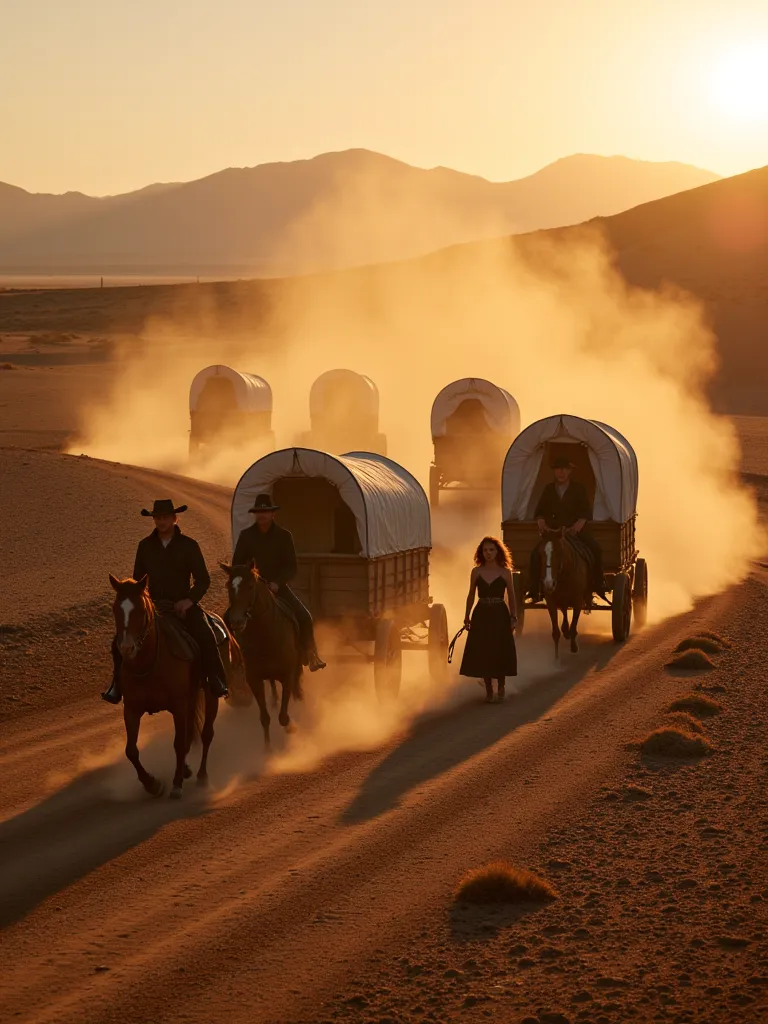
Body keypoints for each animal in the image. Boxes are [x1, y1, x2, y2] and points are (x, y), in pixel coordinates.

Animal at [109, 577, 222, 798]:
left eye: (141, 610)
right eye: (116, 609)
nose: (126, 648)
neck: (148, 665)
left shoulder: (178, 706)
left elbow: (178, 743)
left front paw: (176, 784)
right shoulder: (132, 709)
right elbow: (131, 750)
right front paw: (152, 784)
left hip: (209, 694)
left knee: (206, 734)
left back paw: (201, 776)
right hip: (191, 698)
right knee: (191, 735)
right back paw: (186, 769)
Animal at [219, 565, 303, 749]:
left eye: (250, 586)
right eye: (228, 586)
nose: (236, 621)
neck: (264, 635)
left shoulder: (287, 675)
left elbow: (283, 716)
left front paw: (292, 727)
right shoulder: (254, 679)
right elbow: (265, 718)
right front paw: (268, 748)